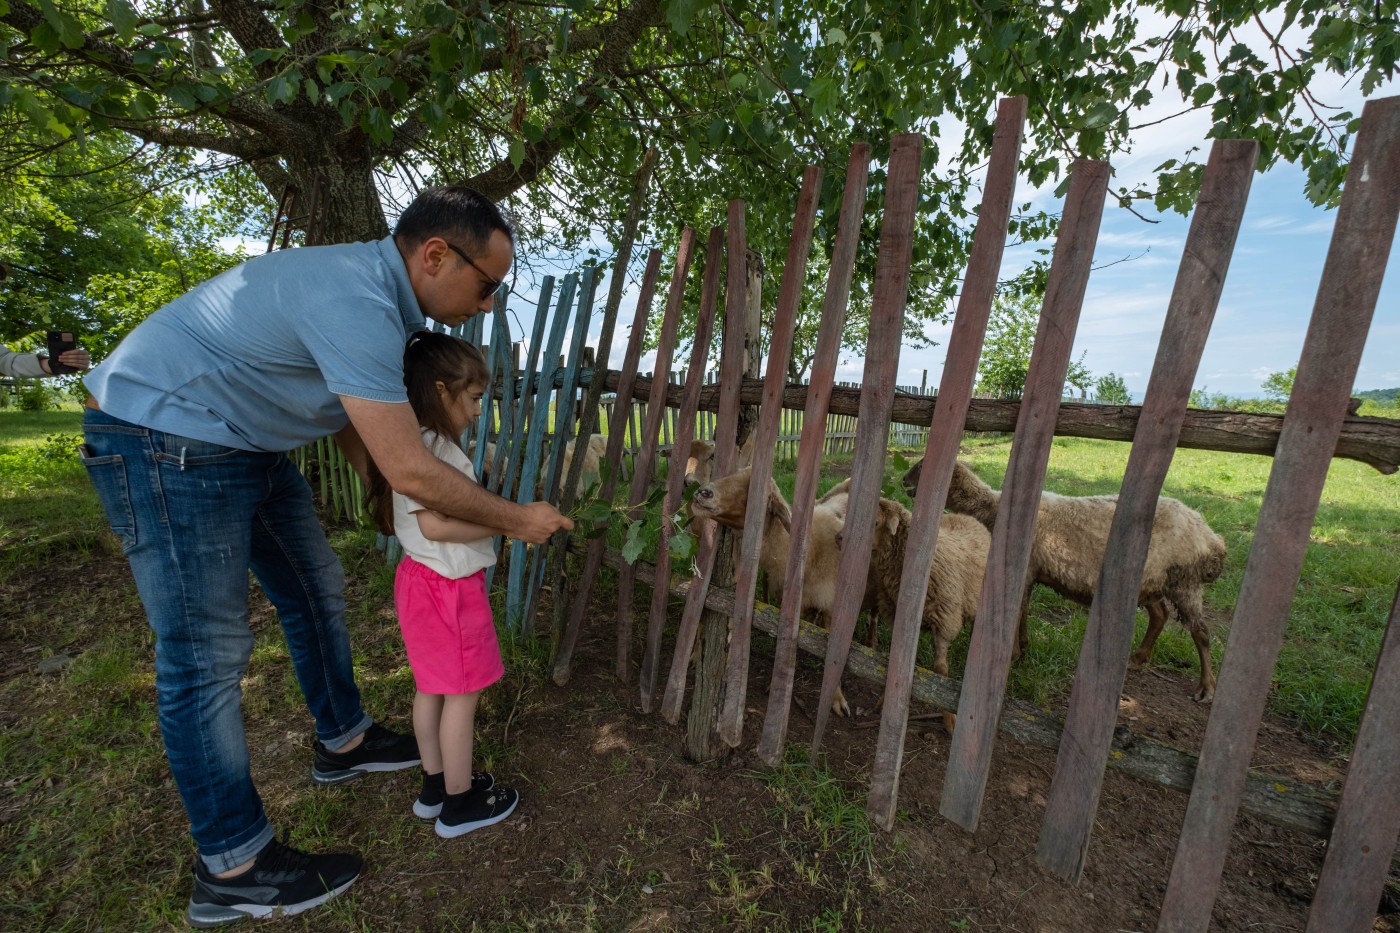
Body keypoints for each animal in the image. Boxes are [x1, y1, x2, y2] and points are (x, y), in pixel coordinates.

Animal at [901, 456, 1220, 697]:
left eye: (922, 466)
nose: (903, 483)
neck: (993, 509)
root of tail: (1211, 537)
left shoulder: (1025, 568)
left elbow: (1017, 610)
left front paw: (1013, 653)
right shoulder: (1031, 572)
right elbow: (1024, 610)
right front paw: (1023, 646)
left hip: (1184, 581)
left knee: (1201, 631)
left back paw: (1206, 687)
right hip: (1154, 582)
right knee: (1160, 615)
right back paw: (1138, 659)